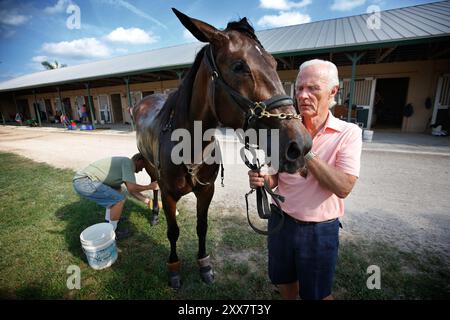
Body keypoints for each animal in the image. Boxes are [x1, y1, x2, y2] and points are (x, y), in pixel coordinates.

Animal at [132, 9, 312, 290]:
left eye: (273, 63)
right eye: (239, 66)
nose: (300, 146)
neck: (189, 146)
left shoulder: (207, 192)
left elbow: (202, 227)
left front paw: (204, 265)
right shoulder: (171, 194)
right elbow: (173, 231)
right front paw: (174, 269)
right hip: (152, 168)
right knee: (154, 185)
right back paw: (153, 214)